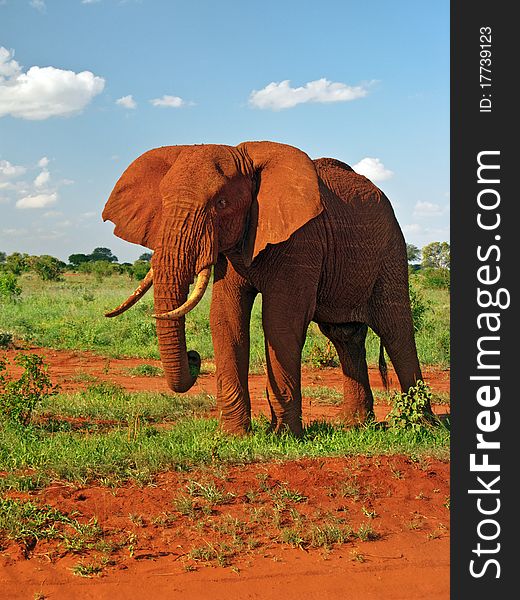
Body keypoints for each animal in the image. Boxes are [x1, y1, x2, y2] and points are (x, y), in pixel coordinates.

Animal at [102, 141, 426, 436]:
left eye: (221, 204)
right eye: (163, 202)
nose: (194, 357)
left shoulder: (302, 239)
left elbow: (280, 321)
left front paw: (283, 436)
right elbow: (226, 317)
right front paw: (234, 435)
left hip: (391, 250)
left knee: (395, 330)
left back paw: (421, 426)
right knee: (344, 335)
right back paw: (355, 425)